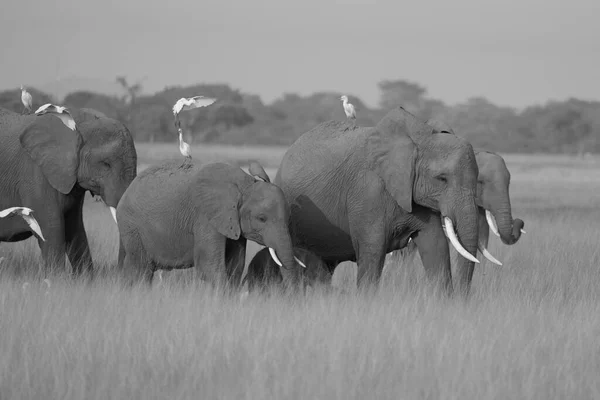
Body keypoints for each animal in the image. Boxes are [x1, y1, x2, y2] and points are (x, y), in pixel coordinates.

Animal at [0, 105, 137, 278]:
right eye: (106, 164)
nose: (119, 273)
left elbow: (75, 228)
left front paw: (84, 280)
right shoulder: (35, 173)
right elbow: (52, 229)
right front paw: (55, 280)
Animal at [115, 161, 308, 290]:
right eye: (262, 218)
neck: (245, 185)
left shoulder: (233, 223)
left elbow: (235, 266)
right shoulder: (205, 216)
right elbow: (209, 266)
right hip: (132, 226)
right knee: (140, 270)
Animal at [274, 105, 486, 294]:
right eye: (442, 178)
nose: (463, 297)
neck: (417, 140)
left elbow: (435, 244)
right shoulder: (367, 189)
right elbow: (373, 248)